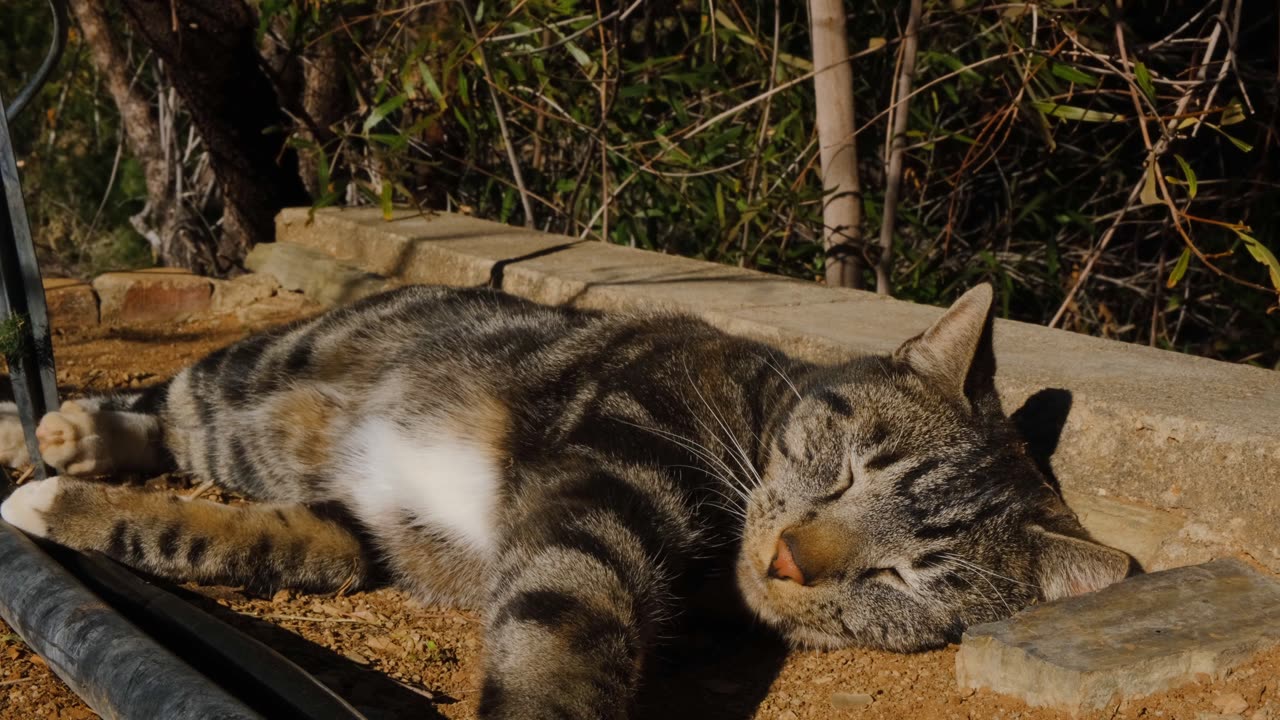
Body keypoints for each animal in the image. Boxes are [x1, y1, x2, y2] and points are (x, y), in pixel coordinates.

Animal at [0, 281, 1131, 717]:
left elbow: (251, 543)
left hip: (264, 446)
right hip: (255, 371)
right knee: (170, 394)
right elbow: (567, 623)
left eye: (901, 579)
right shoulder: (616, 461)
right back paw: (53, 429)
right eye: (848, 466)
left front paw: (53, 513)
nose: (786, 561)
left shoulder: (369, 535)